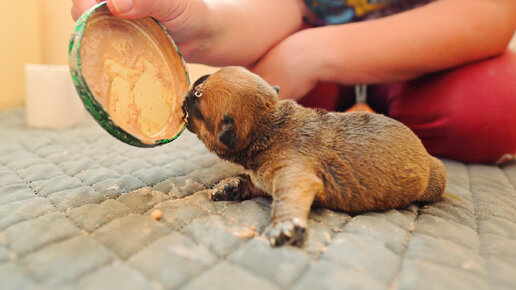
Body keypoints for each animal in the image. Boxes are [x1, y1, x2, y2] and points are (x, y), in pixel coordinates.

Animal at [182, 66, 448, 247]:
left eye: (198, 94)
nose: (186, 92)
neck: (269, 125)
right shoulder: (265, 178)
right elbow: (250, 181)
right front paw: (230, 185)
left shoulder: (293, 174)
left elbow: (287, 198)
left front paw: (284, 225)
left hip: (434, 179)